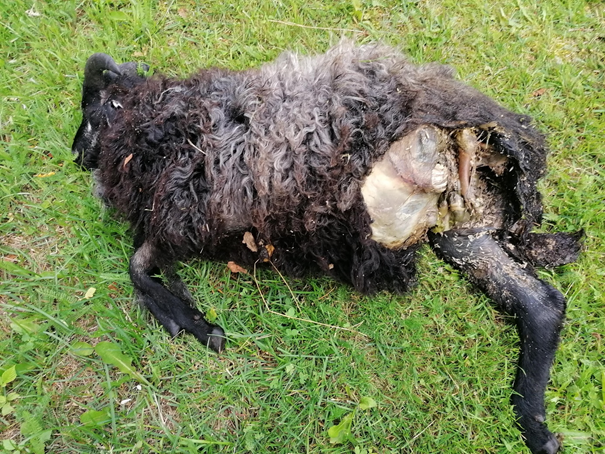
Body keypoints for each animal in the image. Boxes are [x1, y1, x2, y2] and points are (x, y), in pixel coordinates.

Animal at [71, 42, 580, 454]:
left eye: (95, 111)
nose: (77, 153)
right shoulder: (177, 215)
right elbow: (139, 264)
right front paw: (197, 325)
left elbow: (138, 263)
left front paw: (196, 324)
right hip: (463, 234)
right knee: (541, 303)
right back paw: (536, 427)